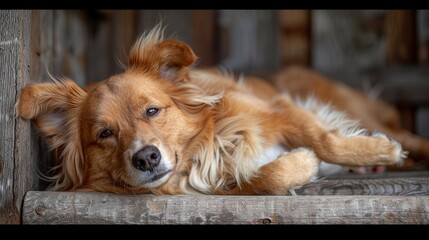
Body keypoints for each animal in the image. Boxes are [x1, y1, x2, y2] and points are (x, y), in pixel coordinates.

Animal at [15, 26, 426, 195]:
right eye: (104, 134)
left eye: (152, 111)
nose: (146, 158)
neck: (207, 147)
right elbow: (263, 178)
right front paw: (302, 164)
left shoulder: (278, 108)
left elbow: (324, 140)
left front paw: (378, 150)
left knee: (408, 136)